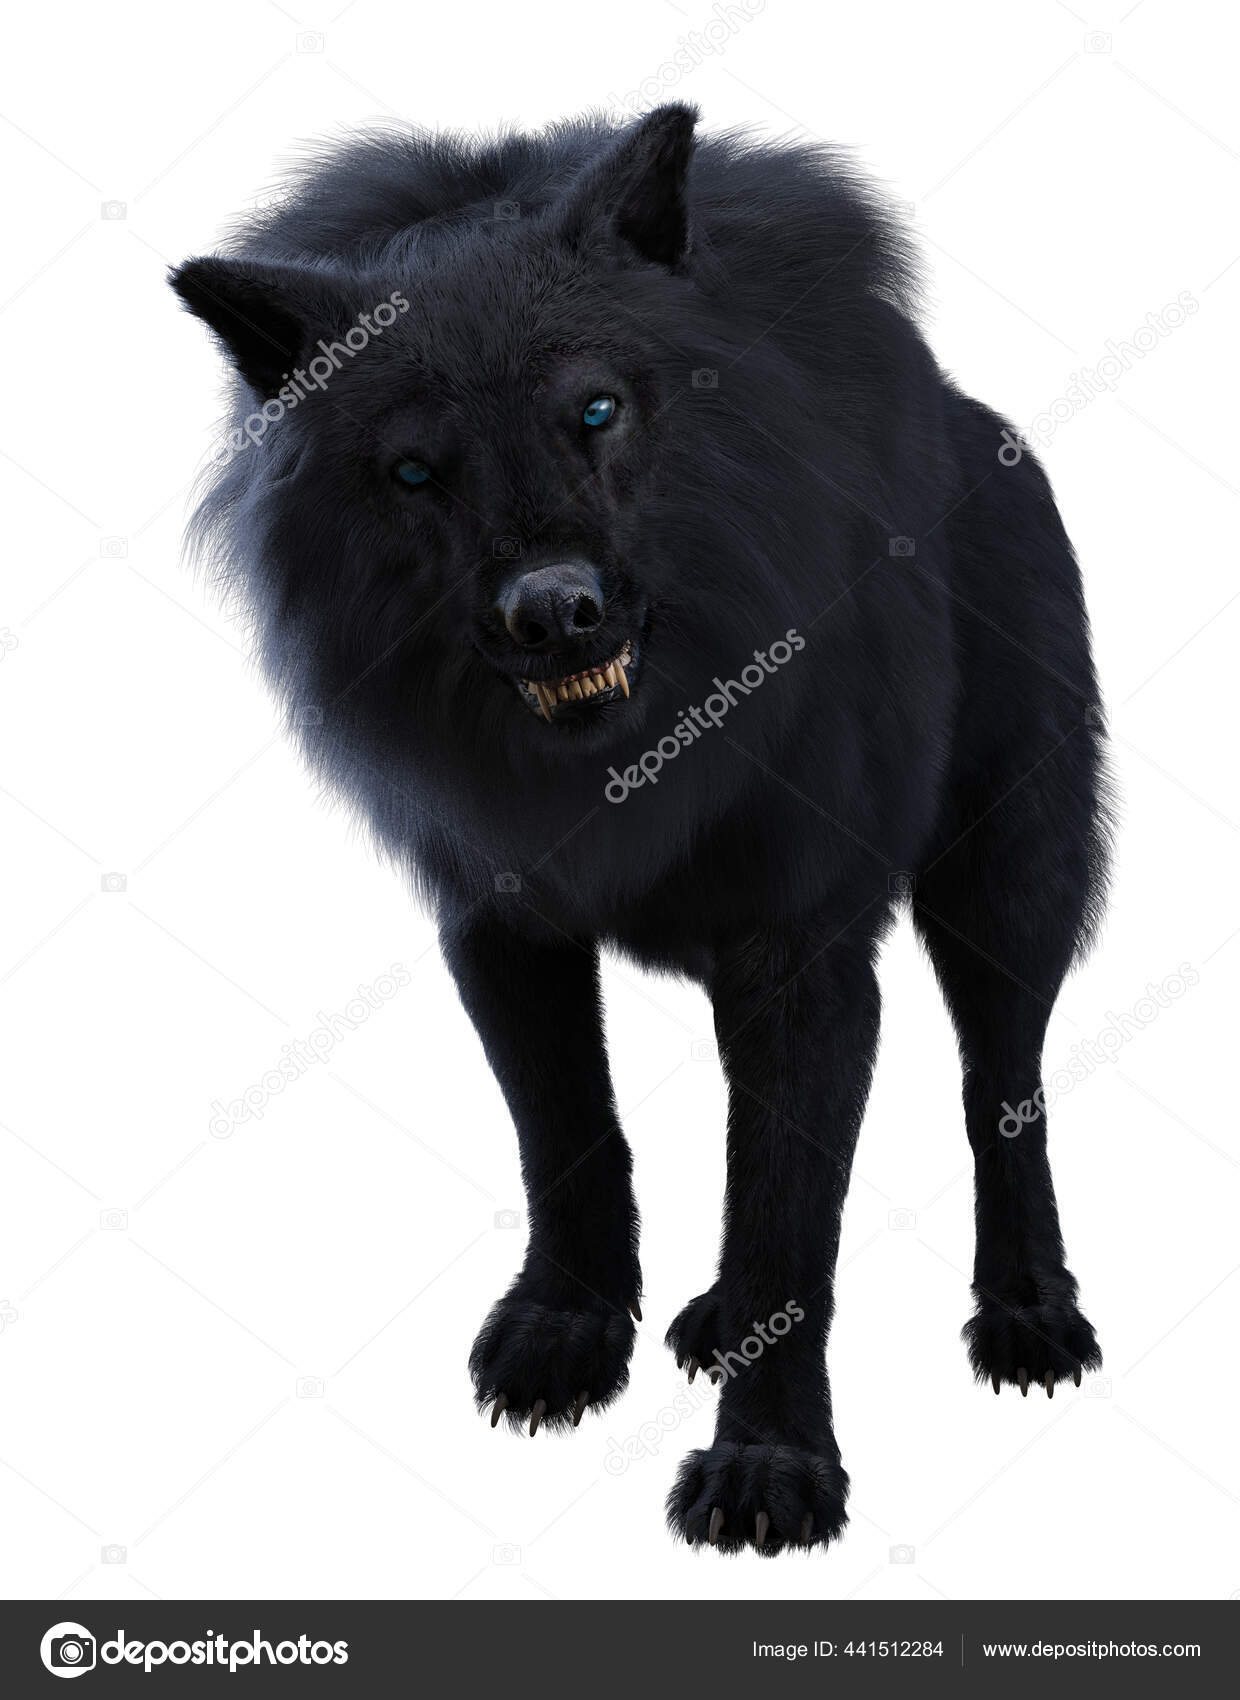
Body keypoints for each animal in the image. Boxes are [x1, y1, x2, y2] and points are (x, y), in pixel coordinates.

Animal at [171, 103, 1108, 1553]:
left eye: (596, 410)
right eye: (414, 469)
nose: (554, 611)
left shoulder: (805, 956)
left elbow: (789, 1223)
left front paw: (769, 1468)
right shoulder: (501, 927)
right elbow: (577, 1139)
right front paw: (567, 1332)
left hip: (1004, 890)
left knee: (1001, 1094)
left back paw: (1028, 1314)